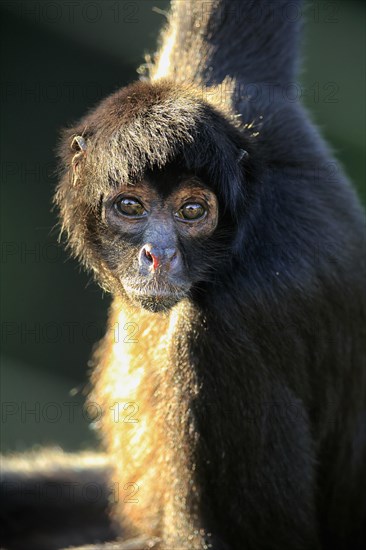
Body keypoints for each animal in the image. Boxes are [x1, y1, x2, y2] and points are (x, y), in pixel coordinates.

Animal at [1, 1, 364, 550]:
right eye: (130, 206)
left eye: (192, 211)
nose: (160, 254)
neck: (248, 228)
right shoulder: (247, 101)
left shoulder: (228, 328)